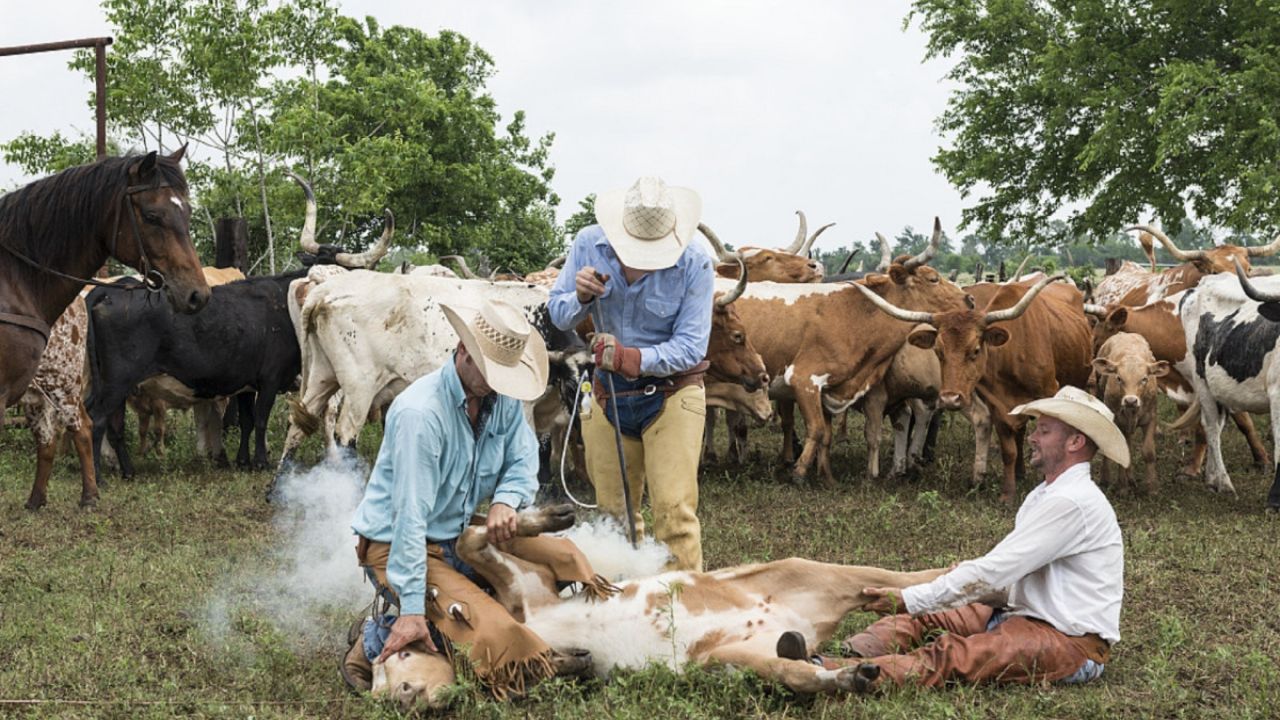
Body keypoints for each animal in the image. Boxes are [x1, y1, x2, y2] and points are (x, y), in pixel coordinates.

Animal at [371, 504, 942, 707]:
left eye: (401, 655)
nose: (398, 696)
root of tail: (799, 623)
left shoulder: (527, 590)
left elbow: (470, 538)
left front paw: (550, 517)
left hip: (812, 571)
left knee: (902, 580)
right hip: (734, 657)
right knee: (801, 671)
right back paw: (852, 674)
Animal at [1090, 333, 1172, 489]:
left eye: (1144, 379)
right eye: (1119, 378)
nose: (1130, 401)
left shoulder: (1150, 418)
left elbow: (1148, 452)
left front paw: (1152, 486)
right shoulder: (1117, 421)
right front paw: (1122, 485)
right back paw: (1107, 479)